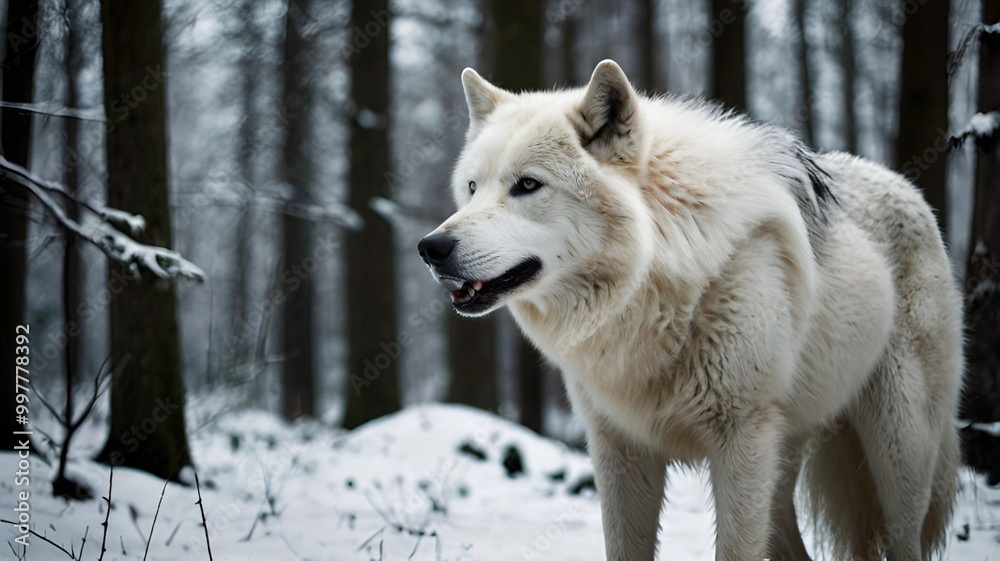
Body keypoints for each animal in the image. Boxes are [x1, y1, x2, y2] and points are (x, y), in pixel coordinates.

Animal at [418, 60, 964, 561]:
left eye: (528, 185)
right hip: (784, 461)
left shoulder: (739, 441)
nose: (431, 248)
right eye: (472, 188)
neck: (655, 291)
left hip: (898, 451)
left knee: (906, 540)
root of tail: (904, 185)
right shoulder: (619, 449)